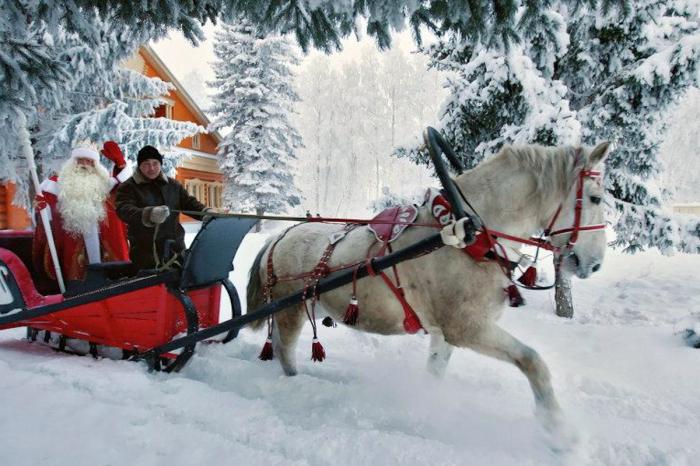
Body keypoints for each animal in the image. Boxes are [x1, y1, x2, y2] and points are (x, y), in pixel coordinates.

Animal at [246, 141, 608, 434]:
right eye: (595, 197)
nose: (595, 264)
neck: (467, 236)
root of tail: (277, 237)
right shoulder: (467, 328)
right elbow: (533, 361)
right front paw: (560, 432)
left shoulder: (445, 334)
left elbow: (435, 372)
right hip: (291, 311)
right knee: (285, 350)